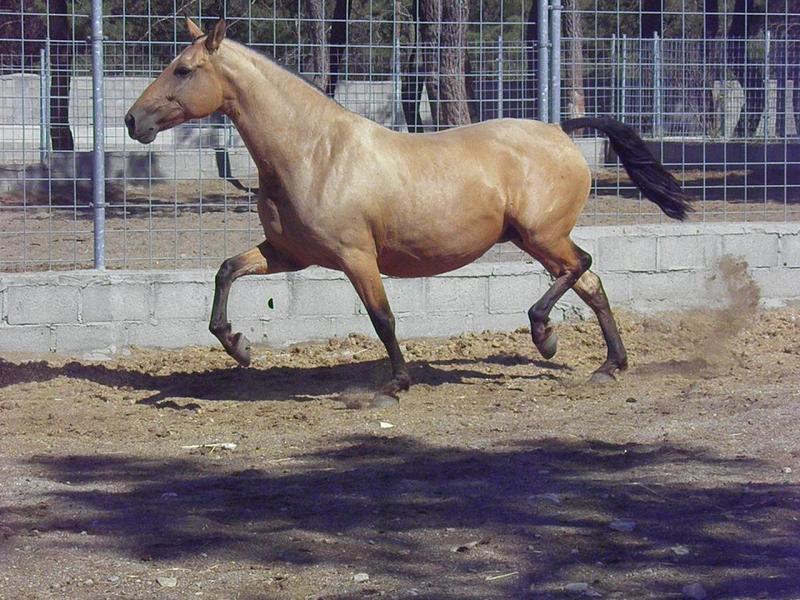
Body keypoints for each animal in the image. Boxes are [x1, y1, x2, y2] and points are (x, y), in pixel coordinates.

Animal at [125, 17, 693, 406]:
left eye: (184, 69)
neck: (315, 152)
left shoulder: (356, 256)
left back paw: (545, 337)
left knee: (582, 267)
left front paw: (394, 384)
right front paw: (239, 347)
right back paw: (610, 366)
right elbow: (226, 271)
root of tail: (560, 130)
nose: (133, 120)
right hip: (534, 239)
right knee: (591, 284)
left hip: (541, 236)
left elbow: (382, 318)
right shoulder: (289, 254)